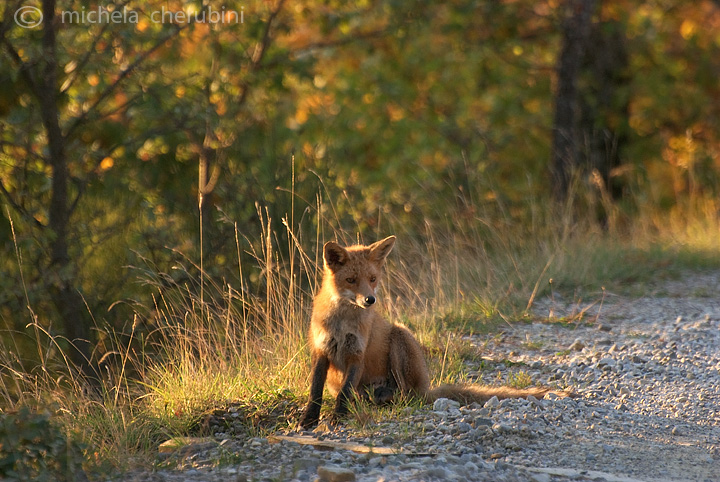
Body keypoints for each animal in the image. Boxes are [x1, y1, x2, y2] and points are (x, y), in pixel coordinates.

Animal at [296, 235, 568, 428]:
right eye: (351, 280)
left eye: (372, 278)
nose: (369, 300)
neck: (342, 323)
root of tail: (427, 387)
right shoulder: (321, 351)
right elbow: (315, 391)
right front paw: (309, 420)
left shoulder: (357, 354)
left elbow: (343, 394)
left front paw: (337, 418)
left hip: (401, 336)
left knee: (407, 395)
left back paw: (386, 399)